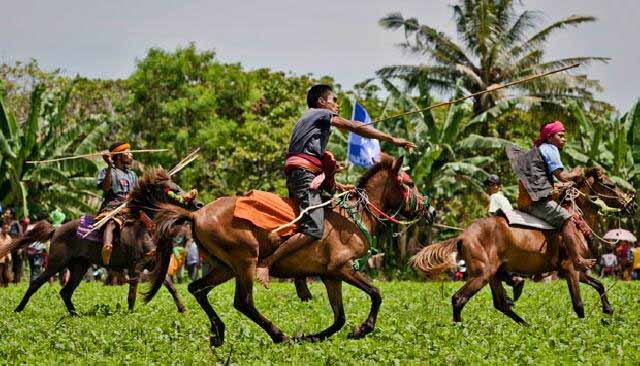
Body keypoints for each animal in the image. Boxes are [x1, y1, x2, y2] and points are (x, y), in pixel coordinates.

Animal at [0, 169, 202, 314]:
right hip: (56, 263)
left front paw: (183, 309)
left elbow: (171, 286)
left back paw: (75, 315)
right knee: (36, 283)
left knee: (65, 292)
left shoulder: (153, 264)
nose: (198, 204)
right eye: (174, 190)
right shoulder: (135, 266)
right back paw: (18, 309)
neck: (144, 228)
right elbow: (132, 292)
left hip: (79, 266)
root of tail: (56, 229)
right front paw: (131, 313)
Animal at [146, 156, 436, 348]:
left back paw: (218, 333)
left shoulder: (331, 276)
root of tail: (196, 214)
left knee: (198, 289)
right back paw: (279, 335)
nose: (431, 211)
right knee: (243, 302)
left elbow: (339, 318)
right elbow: (376, 294)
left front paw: (312, 336)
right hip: (245, 262)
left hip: (225, 267)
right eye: (410, 182)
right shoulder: (342, 268)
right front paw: (362, 329)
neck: (353, 217)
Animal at [412, 167, 636, 324]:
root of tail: (463, 236)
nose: (632, 204)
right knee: (459, 299)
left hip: (492, 274)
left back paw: (527, 326)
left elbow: (599, 284)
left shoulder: (572, 270)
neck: (575, 220)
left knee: (501, 304)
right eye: (610, 184)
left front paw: (608, 309)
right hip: (482, 274)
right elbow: (579, 304)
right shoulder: (571, 269)